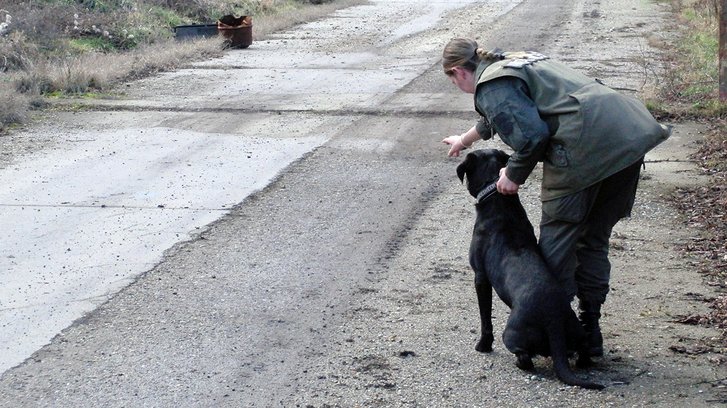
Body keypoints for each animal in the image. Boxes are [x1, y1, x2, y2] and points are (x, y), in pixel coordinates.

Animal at [458, 148, 604, 390]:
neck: (497, 198)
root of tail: (554, 320)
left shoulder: (480, 277)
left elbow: (485, 316)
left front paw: (483, 345)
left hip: (512, 333)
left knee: (525, 357)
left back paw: (519, 363)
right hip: (577, 331)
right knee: (583, 351)